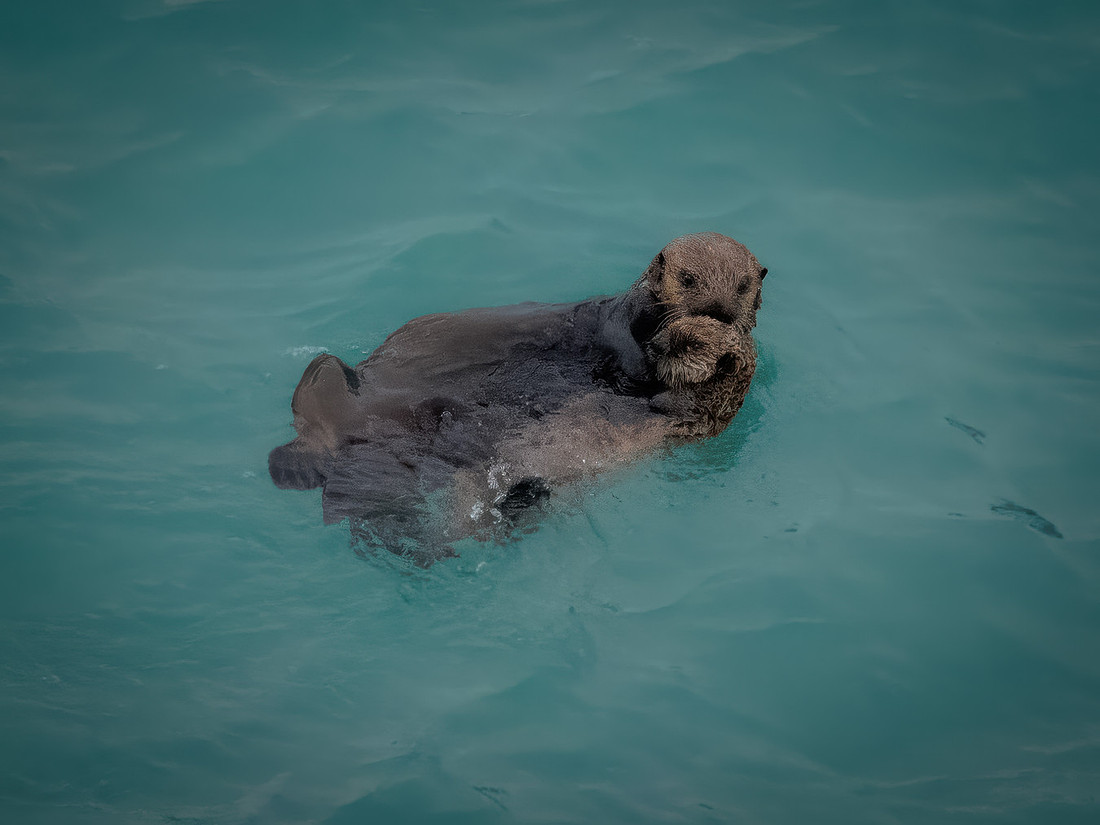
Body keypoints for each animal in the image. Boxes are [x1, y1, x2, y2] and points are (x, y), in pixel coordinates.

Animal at [269, 232, 767, 565]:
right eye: (688, 279)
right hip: (339, 389)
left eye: (743, 286)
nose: (720, 311)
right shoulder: (625, 326)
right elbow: (628, 354)